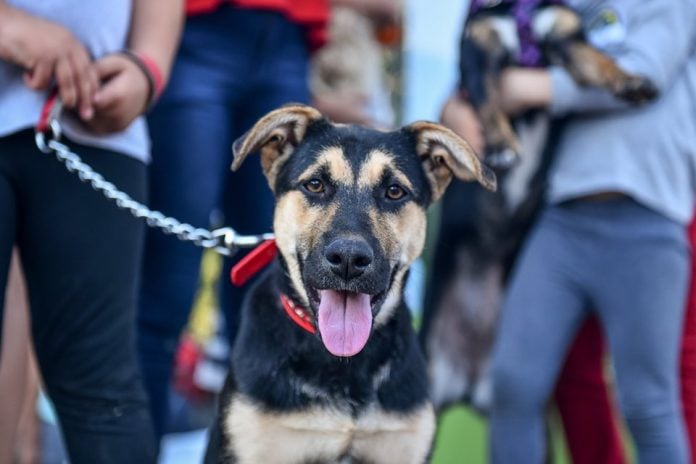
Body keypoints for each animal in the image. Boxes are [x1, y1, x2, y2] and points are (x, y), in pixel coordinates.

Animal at [462, 0, 656, 167]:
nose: (500, 144)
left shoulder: (568, 39)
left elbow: (601, 60)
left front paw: (629, 80)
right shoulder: (480, 56)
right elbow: (487, 102)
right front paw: (501, 144)